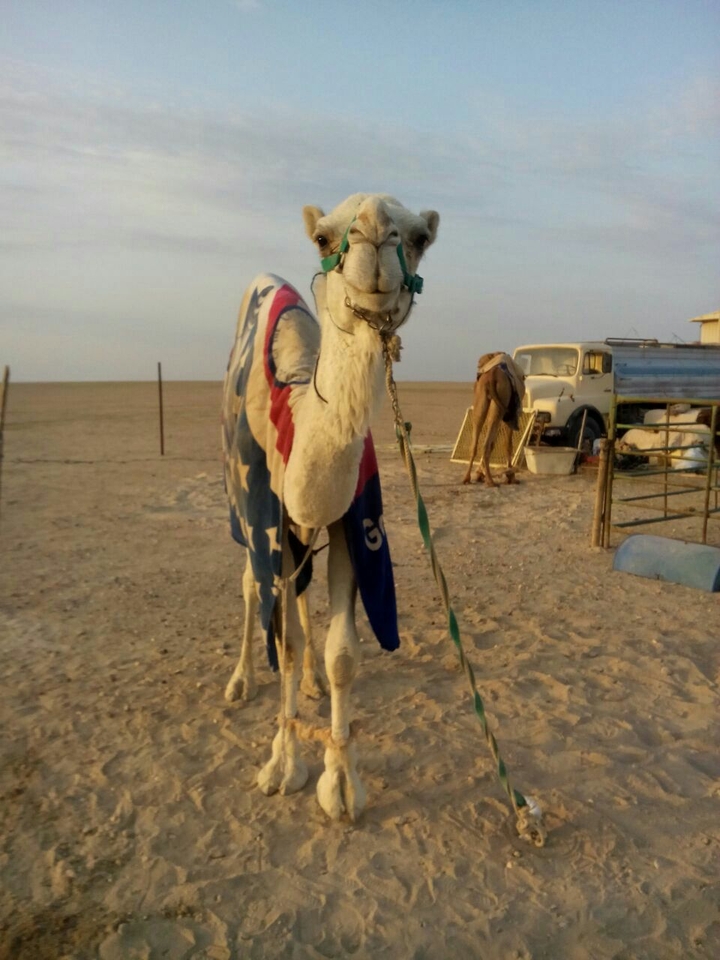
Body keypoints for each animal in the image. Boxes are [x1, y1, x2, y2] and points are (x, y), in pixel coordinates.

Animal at [222, 193, 439, 820]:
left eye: (419, 238)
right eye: (323, 237)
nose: (373, 237)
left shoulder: (350, 525)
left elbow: (343, 651)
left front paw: (341, 782)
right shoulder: (270, 523)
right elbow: (286, 643)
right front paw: (282, 763)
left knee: (299, 598)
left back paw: (313, 684)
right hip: (244, 513)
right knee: (252, 588)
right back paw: (242, 680)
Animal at [462, 351, 526, 487]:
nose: (478, 367)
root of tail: (492, 376)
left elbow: (495, 443)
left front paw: (480, 474)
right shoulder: (510, 414)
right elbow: (508, 445)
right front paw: (511, 477)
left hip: (482, 400)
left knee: (476, 441)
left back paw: (467, 478)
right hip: (501, 402)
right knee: (487, 444)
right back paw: (490, 481)